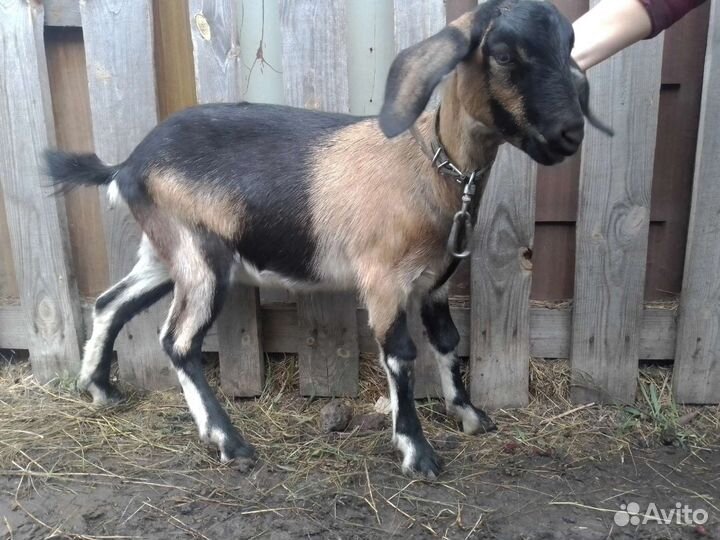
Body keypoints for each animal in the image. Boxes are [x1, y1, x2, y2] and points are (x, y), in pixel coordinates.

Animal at [45, 0, 605, 478]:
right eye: (504, 53)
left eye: (569, 47)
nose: (569, 133)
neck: (430, 163)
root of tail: (127, 165)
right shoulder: (383, 280)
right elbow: (401, 355)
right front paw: (416, 451)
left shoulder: (435, 282)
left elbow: (448, 342)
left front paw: (469, 414)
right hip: (199, 253)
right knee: (177, 340)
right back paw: (229, 442)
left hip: (164, 251)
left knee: (109, 303)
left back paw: (99, 388)